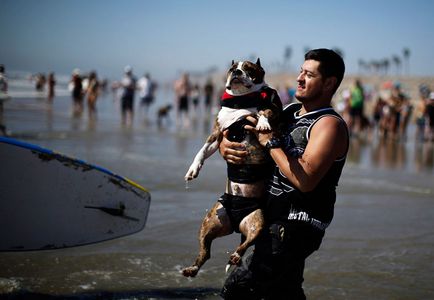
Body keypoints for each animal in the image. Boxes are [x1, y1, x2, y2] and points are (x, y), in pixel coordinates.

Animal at [182, 58, 282, 276]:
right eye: (232, 69)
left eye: (249, 69)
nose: (237, 72)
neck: (241, 101)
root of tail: (236, 226)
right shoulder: (217, 134)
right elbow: (202, 150)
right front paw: (193, 169)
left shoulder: (273, 109)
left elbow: (264, 111)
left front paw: (262, 123)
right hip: (210, 220)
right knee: (205, 251)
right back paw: (192, 268)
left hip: (257, 221)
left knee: (245, 244)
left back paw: (235, 256)